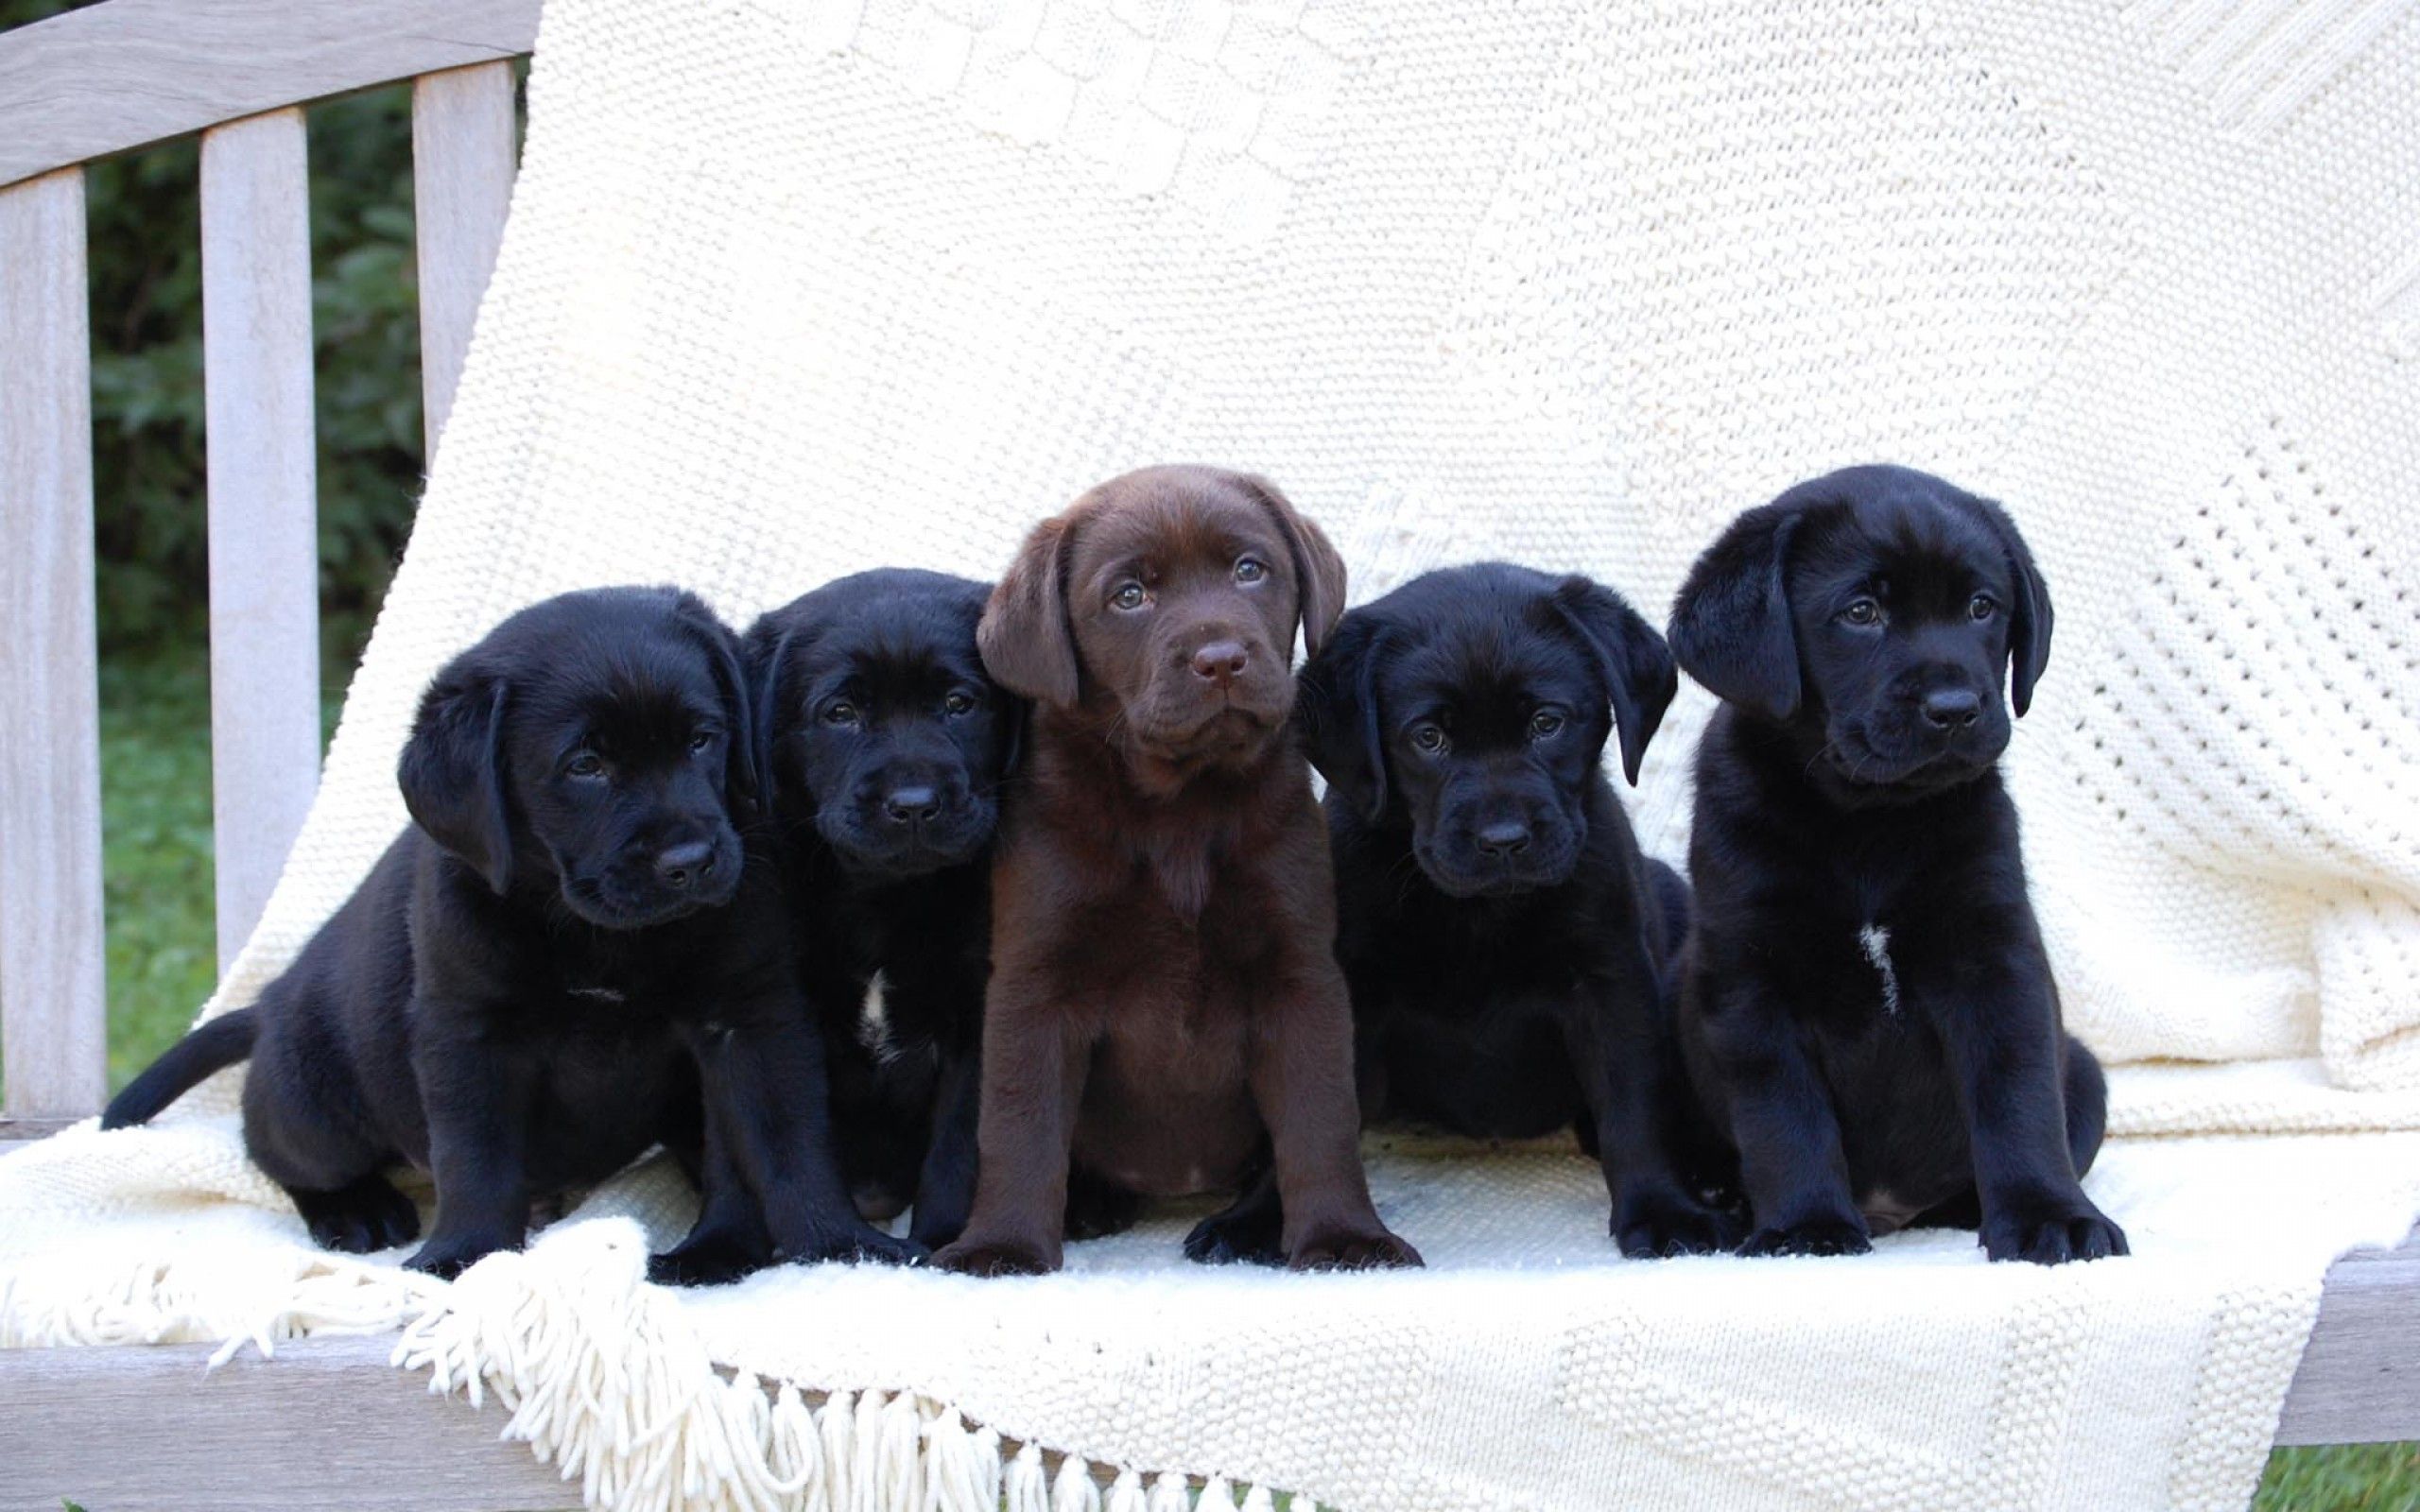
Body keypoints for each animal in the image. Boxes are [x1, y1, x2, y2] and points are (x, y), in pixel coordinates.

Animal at [101, 588, 914, 1277]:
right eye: (585, 766)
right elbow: (475, 1154)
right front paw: (464, 1254)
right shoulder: (468, 1033)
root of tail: (267, 1005)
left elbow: (782, 1140)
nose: (690, 861)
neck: (601, 935)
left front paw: (828, 1244)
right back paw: (357, 1211)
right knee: (278, 1153)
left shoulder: (746, 1018)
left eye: (702, 741)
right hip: (312, 1105)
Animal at [648, 568, 1016, 1286]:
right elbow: (737, 1148)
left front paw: (947, 1242)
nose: (913, 806)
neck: (879, 892)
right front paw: (717, 1247)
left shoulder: (982, 1013)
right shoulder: (750, 1006)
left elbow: (961, 1146)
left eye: (959, 703)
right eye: (840, 714)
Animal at [1190, 560, 1742, 1258]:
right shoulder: (1345, 991)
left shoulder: (1610, 980)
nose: (1503, 840)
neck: (1478, 913)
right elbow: (1312, 1114)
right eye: (1429, 738)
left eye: (1547, 723)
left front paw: (1664, 1209)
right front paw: (1259, 1216)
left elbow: (1633, 1104)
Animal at [1674, 461, 2129, 1258]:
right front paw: (1807, 1226)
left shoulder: (1994, 960)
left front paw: (2049, 1215)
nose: (1954, 708)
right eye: (1860, 612)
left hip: (2086, 1071)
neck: (1867, 823)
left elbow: (2018, 1102)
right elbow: (1784, 1118)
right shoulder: (1750, 980)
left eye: (1982, 606)